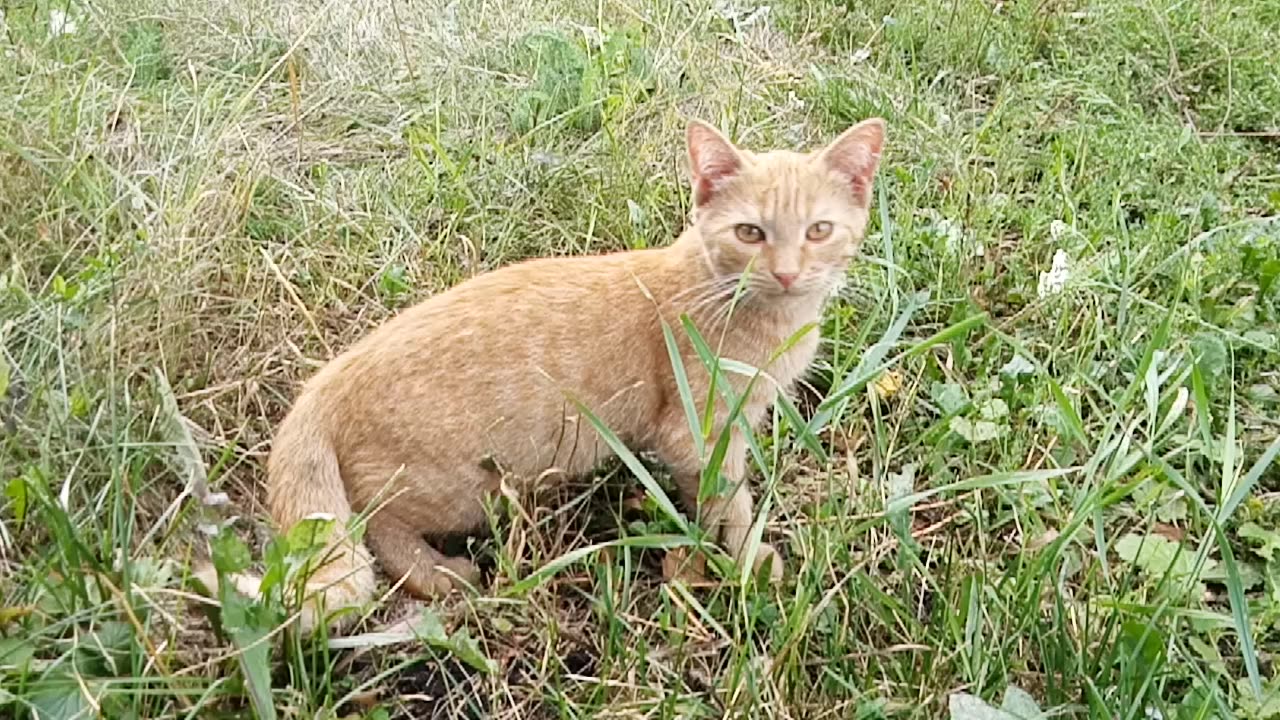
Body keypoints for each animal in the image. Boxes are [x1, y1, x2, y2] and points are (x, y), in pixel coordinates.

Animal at [194, 114, 885, 630]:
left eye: (818, 230)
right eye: (750, 233)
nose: (789, 273)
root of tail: (325, 382)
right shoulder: (701, 434)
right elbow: (731, 502)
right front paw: (750, 562)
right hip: (464, 485)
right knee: (379, 526)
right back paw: (439, 576)